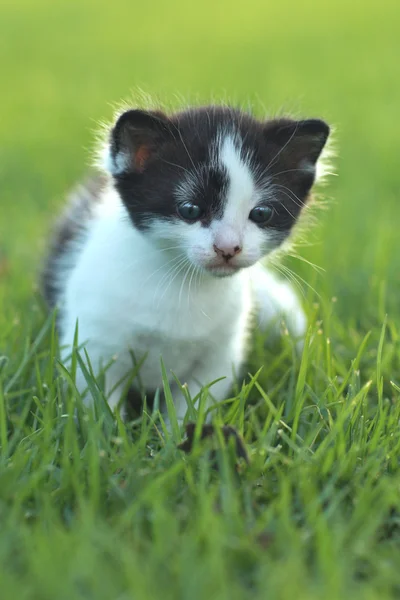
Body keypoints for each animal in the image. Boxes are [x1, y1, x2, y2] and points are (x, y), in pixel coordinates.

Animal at [42, 103, 332, 422]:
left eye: (261, 213)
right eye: (190, 209)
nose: (228, 248)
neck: (183, 282)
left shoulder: (220, 355)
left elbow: (194, 403)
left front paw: (179, 433)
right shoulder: (94, 345)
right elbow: (99, 402)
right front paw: (110, 432)